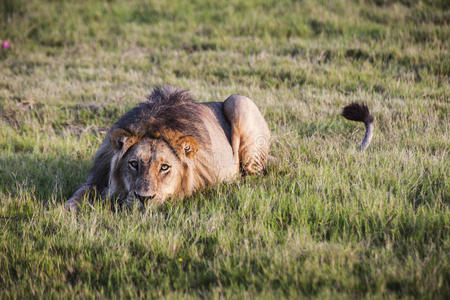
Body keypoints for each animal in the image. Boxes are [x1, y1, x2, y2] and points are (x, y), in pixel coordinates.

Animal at [65, 85, 270, 210]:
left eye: (164, 167)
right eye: (133, 164)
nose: (144, 198)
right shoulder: (98, 176)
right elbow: (81, 192)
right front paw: (67, 211)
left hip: (240, 102)